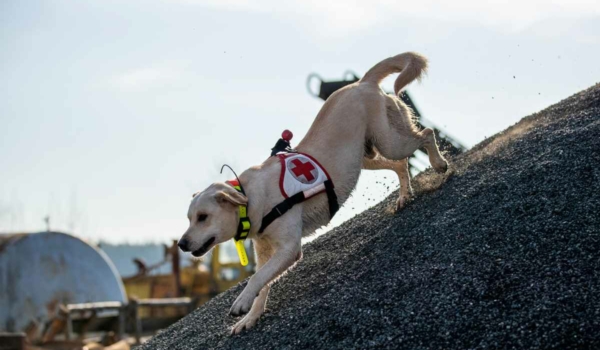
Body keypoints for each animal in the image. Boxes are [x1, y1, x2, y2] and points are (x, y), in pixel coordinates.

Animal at [179, 51, 450, 334]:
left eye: (203, 217)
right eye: (189, 218)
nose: (181, 244)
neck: (249, 198)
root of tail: (362, 81)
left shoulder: (289, 248)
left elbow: (257, 278)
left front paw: (241, 303)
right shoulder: (265, 252)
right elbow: (263, 282)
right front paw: (251, 316)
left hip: (390, 142)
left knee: (426, 134)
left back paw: (439, 163)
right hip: (366, 157)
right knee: (400, 164)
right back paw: (404, 196)